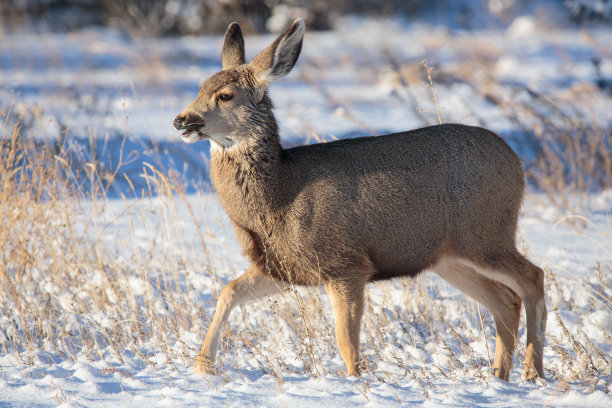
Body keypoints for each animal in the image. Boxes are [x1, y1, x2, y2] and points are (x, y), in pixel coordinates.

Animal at [175, 18, 548, 382]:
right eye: (199, 89)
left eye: (225, 95)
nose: (181, 119)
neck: (280, 196)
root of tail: (516, 161)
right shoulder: (286, 267)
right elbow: (229, 290)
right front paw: (202, 367)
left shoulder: (346, 263)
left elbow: (346, 340)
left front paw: (356, 382)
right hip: (448, 256)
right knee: (505, 300)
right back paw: (500, 376)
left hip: (486, 234)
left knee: (533, 277)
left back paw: (533, 373)